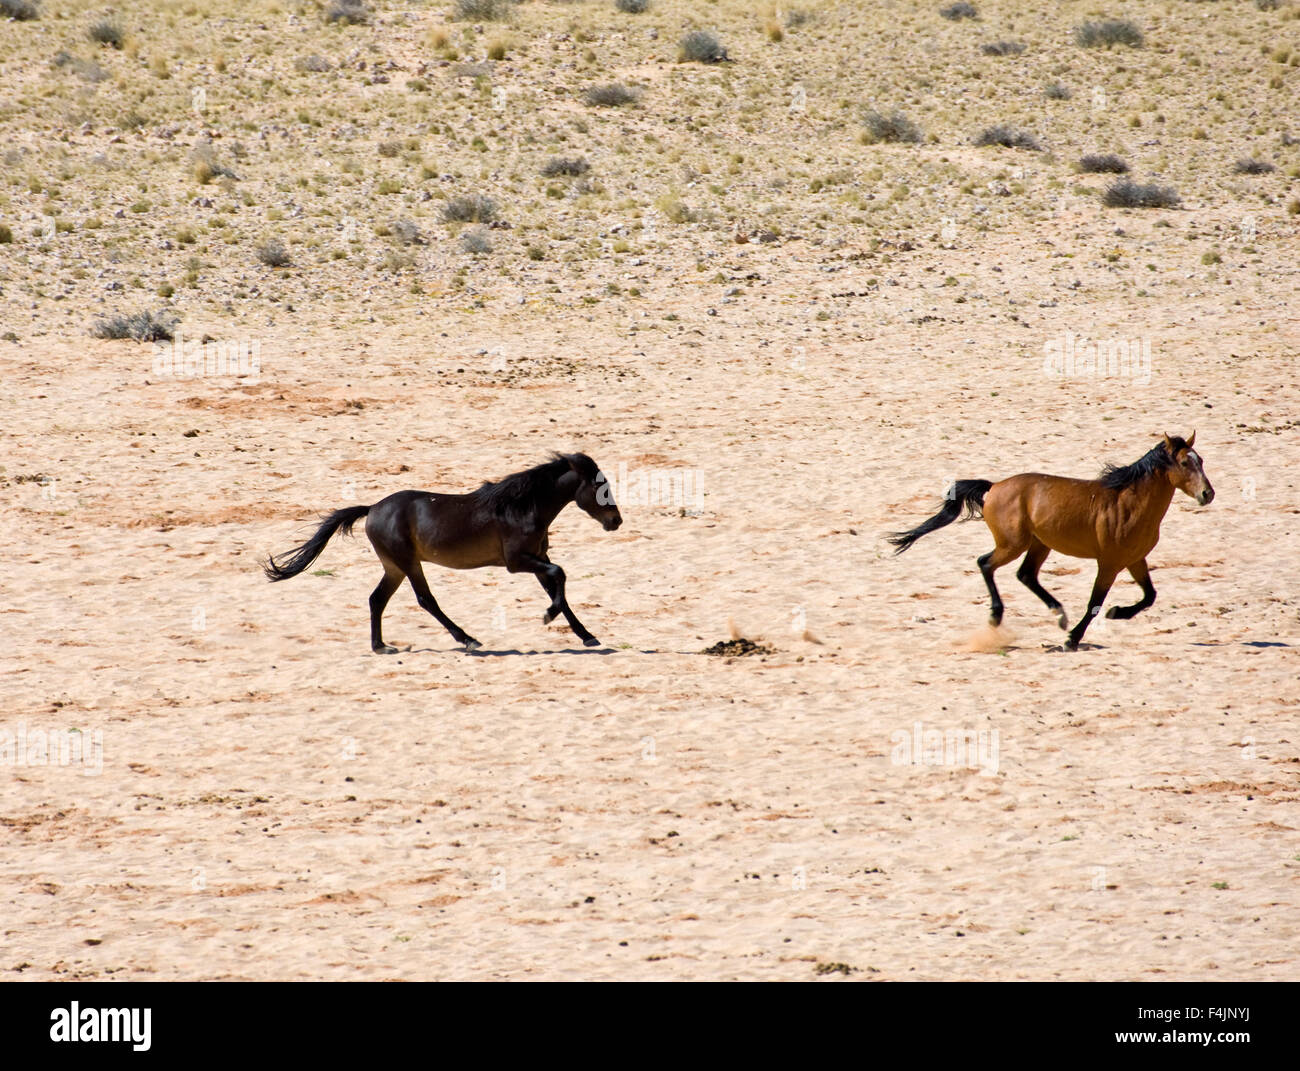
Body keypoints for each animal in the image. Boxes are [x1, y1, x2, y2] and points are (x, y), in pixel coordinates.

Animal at [262, 452, 618, 652]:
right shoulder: (518, 562)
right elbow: (560, 575)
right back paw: (468, 639)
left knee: (377, 599)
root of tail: (372, 508)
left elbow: (560, 590)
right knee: (425, 600)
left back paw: (381, 647)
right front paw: (548, 617)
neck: (522, 507)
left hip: (394, 567)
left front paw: (587, 636)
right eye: (599, 487)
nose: (616, 521)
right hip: (407, 563)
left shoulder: (538, 559)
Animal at [889, 434, 1211, 652]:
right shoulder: (1109, 563)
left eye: (1202, 461)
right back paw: (997, 617)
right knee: (986, 564)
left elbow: (1149, 596)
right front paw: (1073, 640)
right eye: (1185, 462)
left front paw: (1117, 612)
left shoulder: (1134, 560)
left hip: (1039, 544)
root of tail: (994, 487)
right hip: (1013, 544)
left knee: (1025, 574)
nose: (1208, 494)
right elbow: (1095, 603)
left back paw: (1058, 614)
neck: (1129, 505)